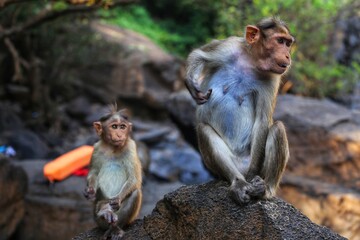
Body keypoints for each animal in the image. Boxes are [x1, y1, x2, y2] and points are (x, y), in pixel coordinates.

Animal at [84, 107, 142, 240]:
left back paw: (114, 228)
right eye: (114, 126)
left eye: (122, 127)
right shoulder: (96, 148)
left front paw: (117, 199)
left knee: (135, 193)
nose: (120, 134)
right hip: (97, 219)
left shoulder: (131, 147)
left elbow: (134, 179)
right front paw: (90, 191)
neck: (112, 148)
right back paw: (105, 213)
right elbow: (94, 173)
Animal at [187, 17, 294, 202]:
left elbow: (262, 120)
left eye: (288, 43)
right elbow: (199, 55)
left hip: (256, 165)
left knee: (278, 128)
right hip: (217, 168)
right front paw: (191, 83)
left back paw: (264, 189)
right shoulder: (229, 46)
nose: (288, 55)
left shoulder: (272, 78)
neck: (251, 63)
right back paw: (238, 182)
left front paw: (255, 179)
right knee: (203, 129)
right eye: (280, 41)